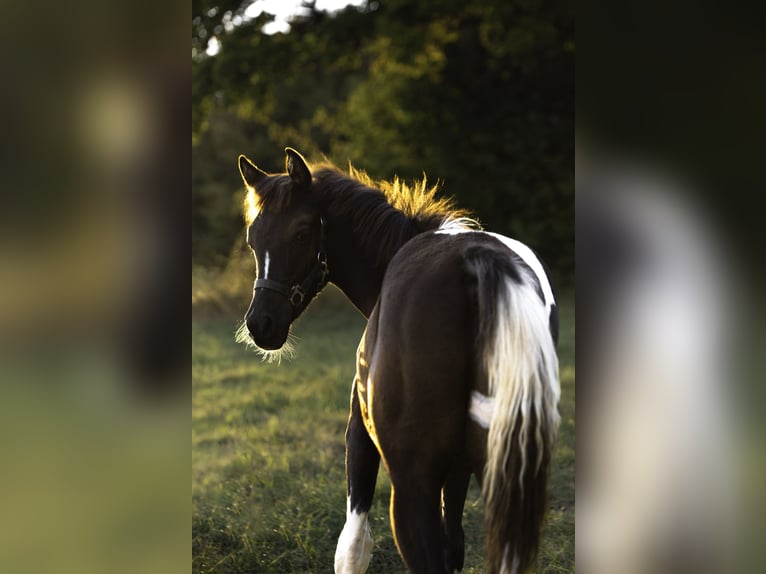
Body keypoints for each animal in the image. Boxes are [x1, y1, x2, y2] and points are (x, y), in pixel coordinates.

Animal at [236, 147, 560, 574]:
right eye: (253, 239)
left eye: (302, 232)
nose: (261, 324)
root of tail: (476, 263)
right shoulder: (459, 470)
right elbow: (453, 545)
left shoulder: (359, 436)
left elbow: (352, 549)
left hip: (411, 488)